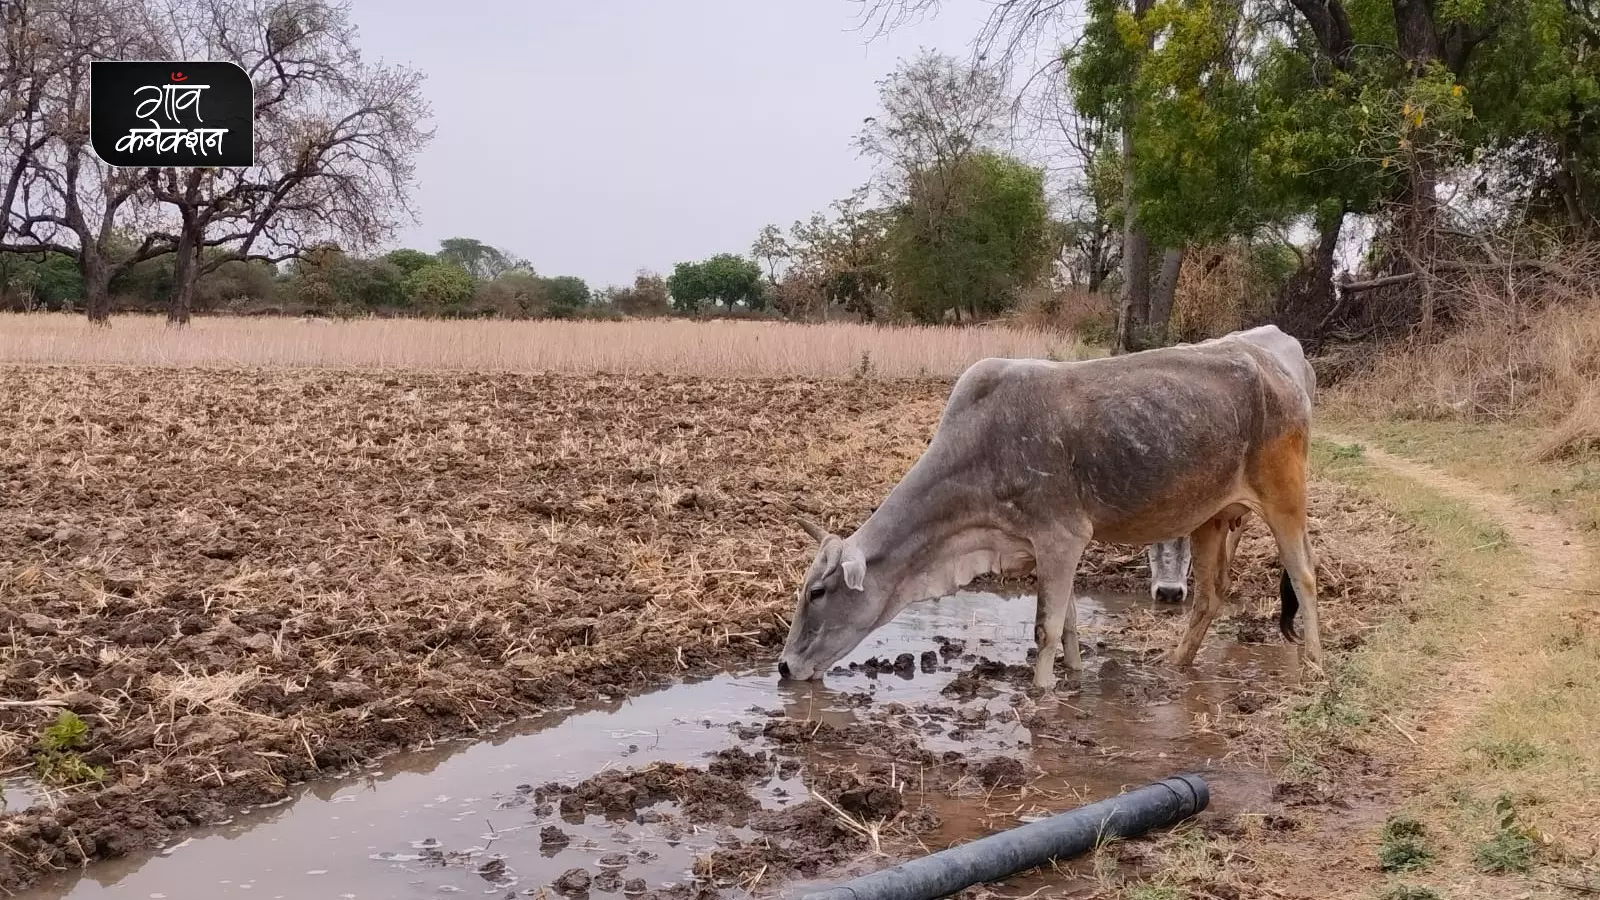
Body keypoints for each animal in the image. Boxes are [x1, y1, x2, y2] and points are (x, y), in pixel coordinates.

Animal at [780, 323, 1318, 685]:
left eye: (817, 593)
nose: (784, 666)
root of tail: (1279, 369)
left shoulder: (1061, 536)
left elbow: (1046, 629)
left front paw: (1041, 693)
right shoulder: (1045, 546)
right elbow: (1070, 625)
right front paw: (1075, 677)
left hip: (1284, 498)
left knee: (1305, 577)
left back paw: (1313, 663)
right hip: (1210, 517)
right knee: (1208, 595)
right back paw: (1176, 664)